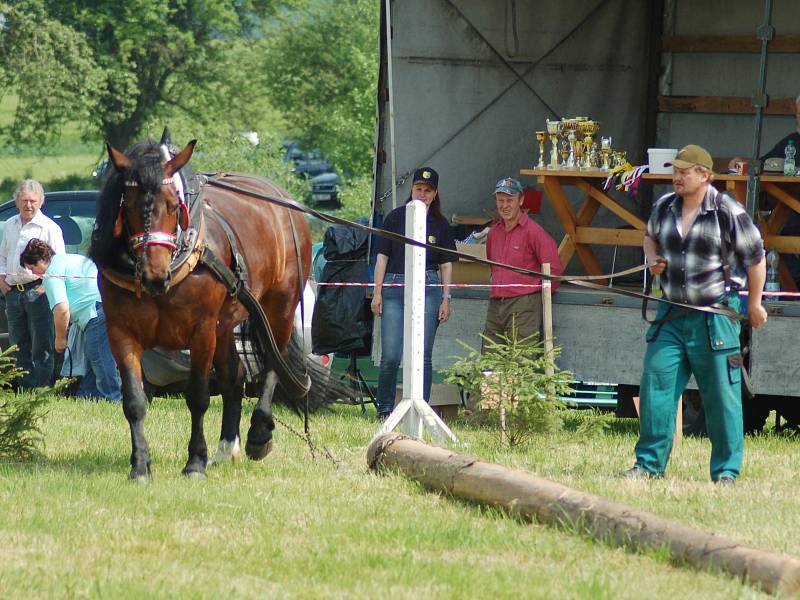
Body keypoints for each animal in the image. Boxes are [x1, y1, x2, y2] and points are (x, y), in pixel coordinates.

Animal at [93, 134, 316, 480]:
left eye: (174, 206)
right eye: (126, 205)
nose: (154, 275)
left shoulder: (201, 331)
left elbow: (197, 397)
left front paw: (195, 462)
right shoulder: (121, 333)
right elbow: (134, 401)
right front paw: (140, 465)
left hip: (278, 307)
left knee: (272, 366)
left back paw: (258, 435)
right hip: (225, 324)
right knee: (235, 375)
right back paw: (226, 448)